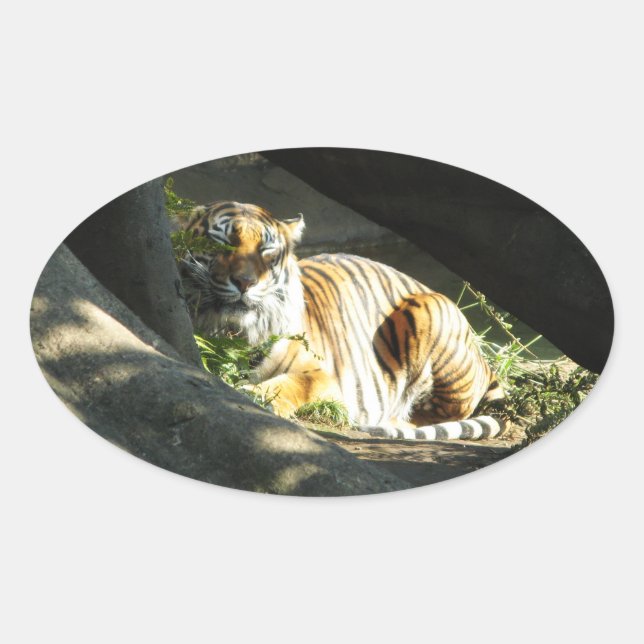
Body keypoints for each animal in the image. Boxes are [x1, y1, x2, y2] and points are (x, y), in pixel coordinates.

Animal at [179, 200, 505, 440]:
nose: (245, 282)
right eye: (221, 242)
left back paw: (391, 422)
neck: (234, 332)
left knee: (439, 413)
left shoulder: (324, 375)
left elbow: (292, 384)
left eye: (266, 249)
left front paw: (254, 395)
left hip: (432, 312)